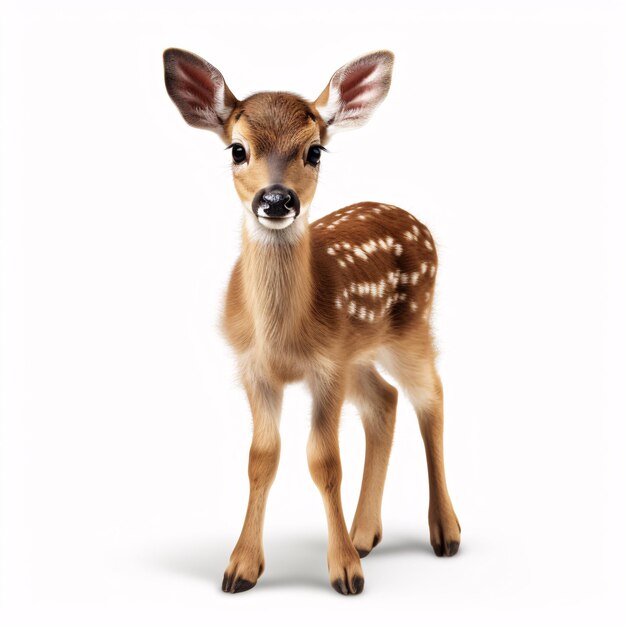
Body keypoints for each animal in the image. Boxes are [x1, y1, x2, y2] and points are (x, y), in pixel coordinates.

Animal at [165, 48, 458, 596]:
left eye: (316, 151)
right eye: (237, 149)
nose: (277, 200)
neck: (283, 337)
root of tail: (417, 221)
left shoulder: (327, 368)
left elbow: (324, 461)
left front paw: (344, 572)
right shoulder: (255, 370)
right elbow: (262, 459)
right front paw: (241, 567)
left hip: (411, 327)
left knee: (430, 398)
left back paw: (444, 532)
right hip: (360, 352)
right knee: (385, 403)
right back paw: (365, 534)